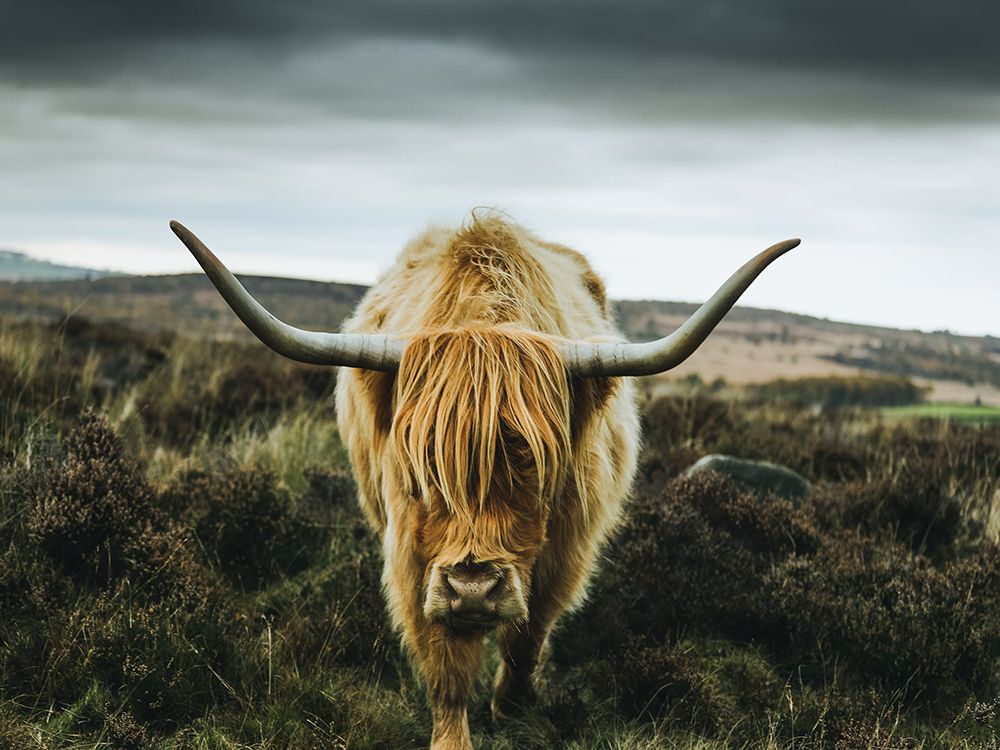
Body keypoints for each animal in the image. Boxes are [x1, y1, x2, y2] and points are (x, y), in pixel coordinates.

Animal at [170, 214, 798, 750]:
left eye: (534, 463)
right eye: (422, 464)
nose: (473, 589)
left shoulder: (563, 553)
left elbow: (526, 635)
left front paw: (512, 709)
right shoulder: (415, 561)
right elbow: (446, 664)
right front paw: (454, 735)